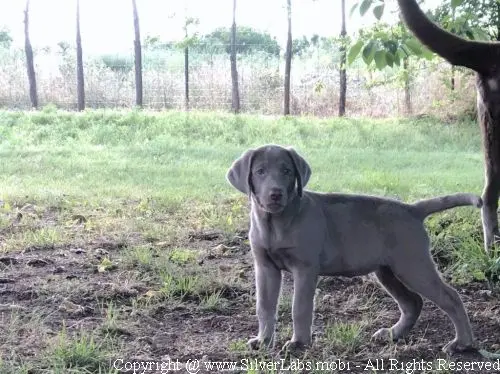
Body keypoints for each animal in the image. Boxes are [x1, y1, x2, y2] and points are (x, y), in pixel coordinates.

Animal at [229, 145, 482, 356]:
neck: (275, 223)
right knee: (413, 302)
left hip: (413, 265)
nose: (275, 193)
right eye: (260, 171)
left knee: (450, 297)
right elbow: (264, 306)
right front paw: (263, 341)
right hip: (388, 271)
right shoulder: (265, 267)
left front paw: (299, 344)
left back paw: (462, 343)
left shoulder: (305, 268)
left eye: (287, 171)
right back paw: (393, 334)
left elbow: (299, 307)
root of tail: (412, 209)